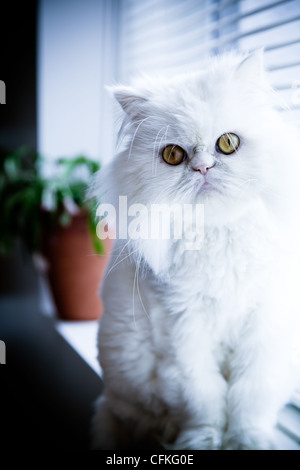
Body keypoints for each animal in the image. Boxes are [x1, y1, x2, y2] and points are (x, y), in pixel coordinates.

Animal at [90, 51, 300, 452]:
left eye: (228, 143)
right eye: (173, 155)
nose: (202, 168)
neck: (219, 237)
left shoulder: (264, 327)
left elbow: (250, 398)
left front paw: (248, 441)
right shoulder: (183, 332)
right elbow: (205, 401)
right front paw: (202, 441)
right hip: (123, 392)